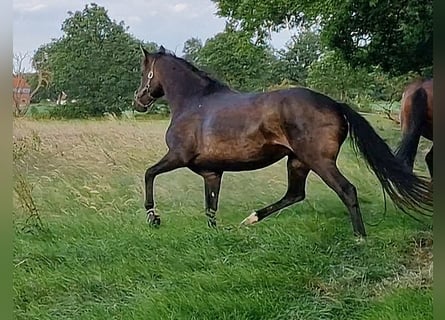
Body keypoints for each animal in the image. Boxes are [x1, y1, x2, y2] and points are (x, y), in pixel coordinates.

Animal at [131, 46, 430, 236]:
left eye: (144, 71)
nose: (138, 101)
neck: (195, 102)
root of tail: (335, 104)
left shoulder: (177, 156)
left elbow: (149, 174)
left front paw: (153, 216)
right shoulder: (212, 173)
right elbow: (210, 209)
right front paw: (213, 235)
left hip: (319, 161)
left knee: (346, 190)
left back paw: (359, 237)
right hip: (297, 161)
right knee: (294, 194)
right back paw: (251, 219)